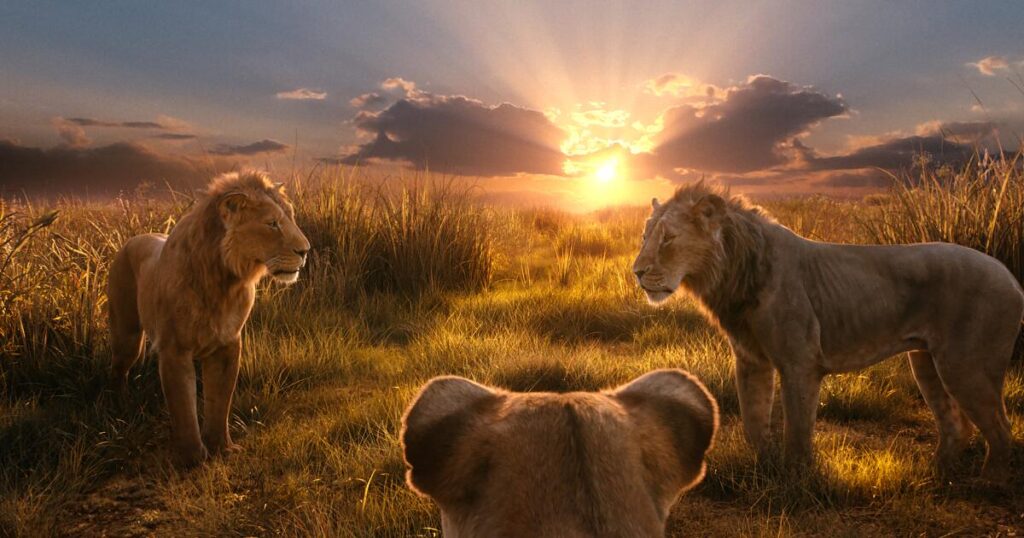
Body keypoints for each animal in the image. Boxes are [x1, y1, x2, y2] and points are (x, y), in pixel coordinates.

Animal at [107, 170, 310, 466]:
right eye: (272, 223)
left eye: (291, 217)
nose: (305, 251)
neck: (224, 281)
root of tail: (133, 239)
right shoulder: (175, 349)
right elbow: (184, 407)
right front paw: (192, 458)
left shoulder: (227, 344)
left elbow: (219, 401)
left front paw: (221, 448)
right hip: (127, 335)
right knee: (118, 369)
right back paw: (119, 407)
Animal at [632, 181, 1024, 480]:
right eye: (645, 235)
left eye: (667, 238)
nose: (636, 272)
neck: (732, 273)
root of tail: (1011, 276)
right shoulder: (750, 361)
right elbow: (753, 422)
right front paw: (763, 470)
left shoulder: (800, 362)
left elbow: (797, 431)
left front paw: (795, 481)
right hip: (925, 362)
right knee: (958, 426)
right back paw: (934, 478)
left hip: (964, 366)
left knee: (1000, 431)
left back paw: (987, 485)